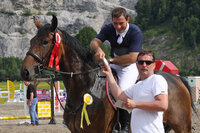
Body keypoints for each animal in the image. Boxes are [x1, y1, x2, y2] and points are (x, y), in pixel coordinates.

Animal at [20, 15, 195, 132]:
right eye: (31, 41)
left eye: (45, 42)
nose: (25, 72)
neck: (86, 87)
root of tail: (177, 79)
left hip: (181, 126)